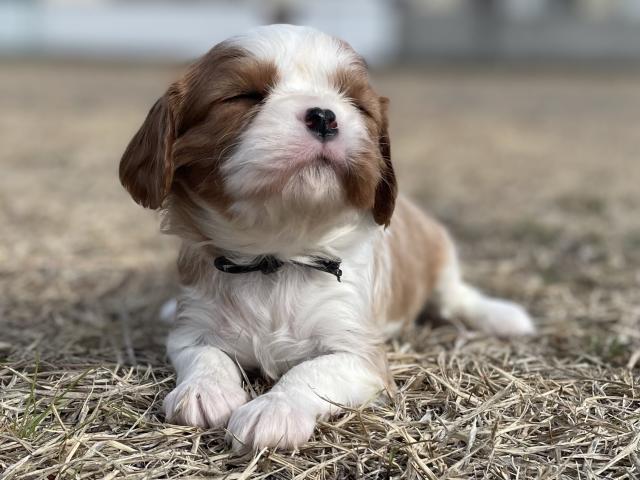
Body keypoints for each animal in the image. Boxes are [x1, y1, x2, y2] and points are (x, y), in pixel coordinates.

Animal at [119, 24, 534, 453]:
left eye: (356, 104)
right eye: (244, 96)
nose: (324, 115)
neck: (276, 257)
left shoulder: (359, 355)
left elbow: (311, 372)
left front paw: (273, 411)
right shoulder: (192, 330)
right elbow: (204, 356)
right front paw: (204, 391)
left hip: (440, 253)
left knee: (457, 297)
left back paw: (501, 316)